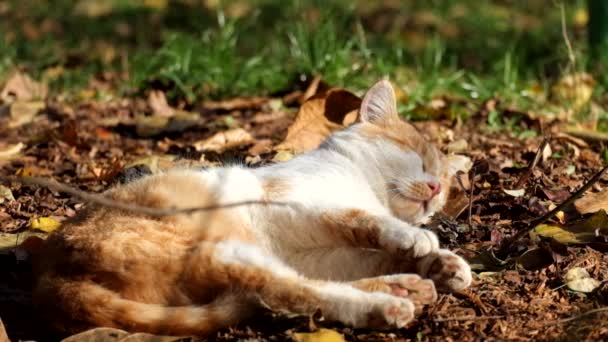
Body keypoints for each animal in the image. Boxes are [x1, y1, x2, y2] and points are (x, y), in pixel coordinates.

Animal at [32, 80, 470, 336]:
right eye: (415, 156)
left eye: (444, 181)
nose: (434, 187)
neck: (367, 187)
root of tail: (52, 274)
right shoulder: (296, 205)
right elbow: (364, 222)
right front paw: (416, 239)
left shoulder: (319, 253)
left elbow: (366, 255)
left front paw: (442, 262)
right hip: (221, 250)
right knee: (290, 292)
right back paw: (385, 304)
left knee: (298, 289)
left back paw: (407, 286)